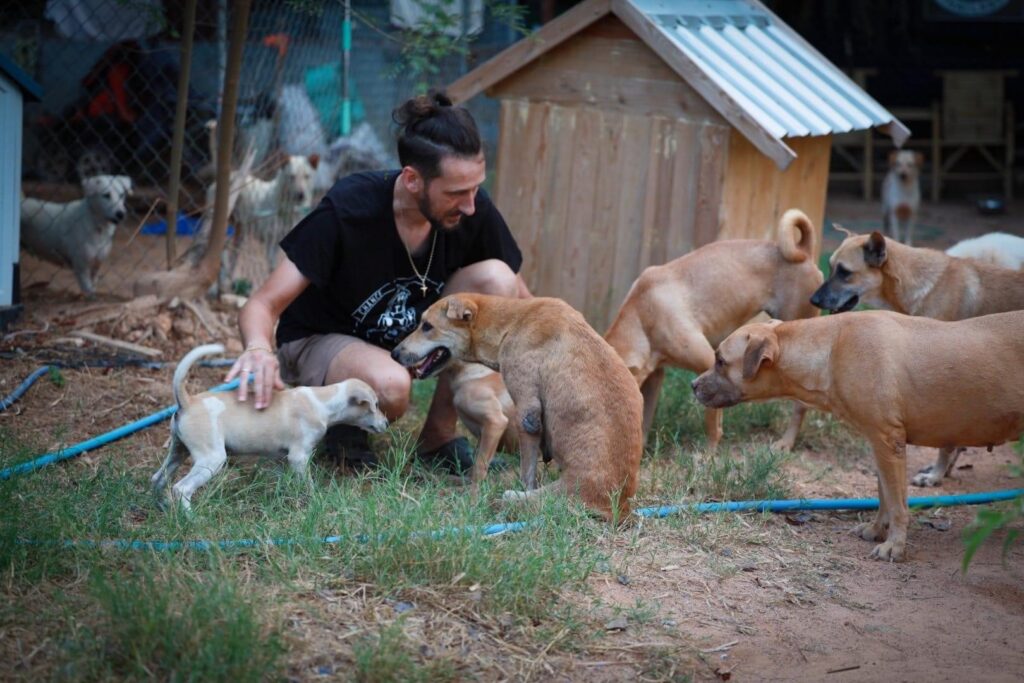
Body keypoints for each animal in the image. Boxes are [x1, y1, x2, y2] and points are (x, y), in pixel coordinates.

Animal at [151, 344, 387, 509]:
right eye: (375, 405)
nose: (385, 423)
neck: (324, 401)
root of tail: (188, 401)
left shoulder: (281, 458)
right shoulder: (299, 457)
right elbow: (308, 484)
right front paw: (315, 500)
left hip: (178, 450)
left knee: (158, 478)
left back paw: (162, 507)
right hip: (211, 459)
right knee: (182, 488)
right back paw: (190, 519)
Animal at [391, 294, 638, 524]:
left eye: (427, 326)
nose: (394, 353)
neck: (512, 322)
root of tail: (618, 509)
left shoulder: (527, 415)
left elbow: (524, 472)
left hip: (522, 494)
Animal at [606, 208, 823, 454]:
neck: (643, 313)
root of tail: (804, 252)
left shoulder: (707, 365)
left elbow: (712, 421)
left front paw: (709, 452)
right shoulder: (654, 377)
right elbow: (644, 422)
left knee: (799, 407)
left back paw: (786, 442)